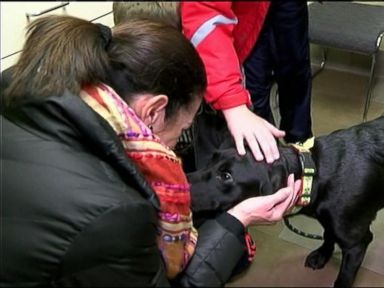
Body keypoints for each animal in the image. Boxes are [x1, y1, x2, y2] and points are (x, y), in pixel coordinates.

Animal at [188, 115, 384, 288]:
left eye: (226, 176)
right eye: (211, 160)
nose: (181, 182)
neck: (313, 173)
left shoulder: (357, 244)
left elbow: (343, 278)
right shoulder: (329, 220)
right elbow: (329, 234)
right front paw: (322, 255)